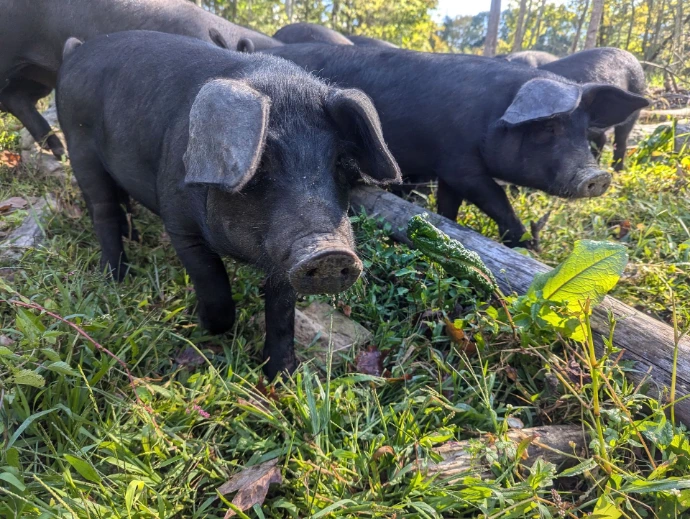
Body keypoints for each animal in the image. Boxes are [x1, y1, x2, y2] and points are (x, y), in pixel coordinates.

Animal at [56, 31, 401, 378]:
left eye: (341, 163)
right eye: (259, 166)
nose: (329, 252)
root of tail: (74, 53)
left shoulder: (282, 255)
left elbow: (282, 309)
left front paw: (281, 375)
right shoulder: (179, 225)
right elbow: (212, 281)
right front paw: (207, 327)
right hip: (79, 145)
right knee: (103, 209)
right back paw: (116, 278)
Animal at [231, 42, 649, 249]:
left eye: (582, 129)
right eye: (547, 128)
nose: (596, 176)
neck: (489, 118)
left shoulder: (447, 171)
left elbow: (449, 207)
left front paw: (454, 228)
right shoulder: (460, 164)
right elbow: (496, 198)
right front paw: (522, 243)